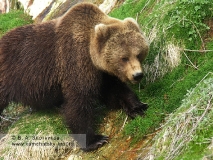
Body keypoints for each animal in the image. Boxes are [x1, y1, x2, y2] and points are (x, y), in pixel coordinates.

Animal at [0, 2, 149, 151]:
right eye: (124, 58)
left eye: (138, 54)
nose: (137, 75)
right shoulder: (75, 60)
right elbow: (79, 100)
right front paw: (95, 140)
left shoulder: (102, 72)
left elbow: (115, 90)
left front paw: (137, 107)